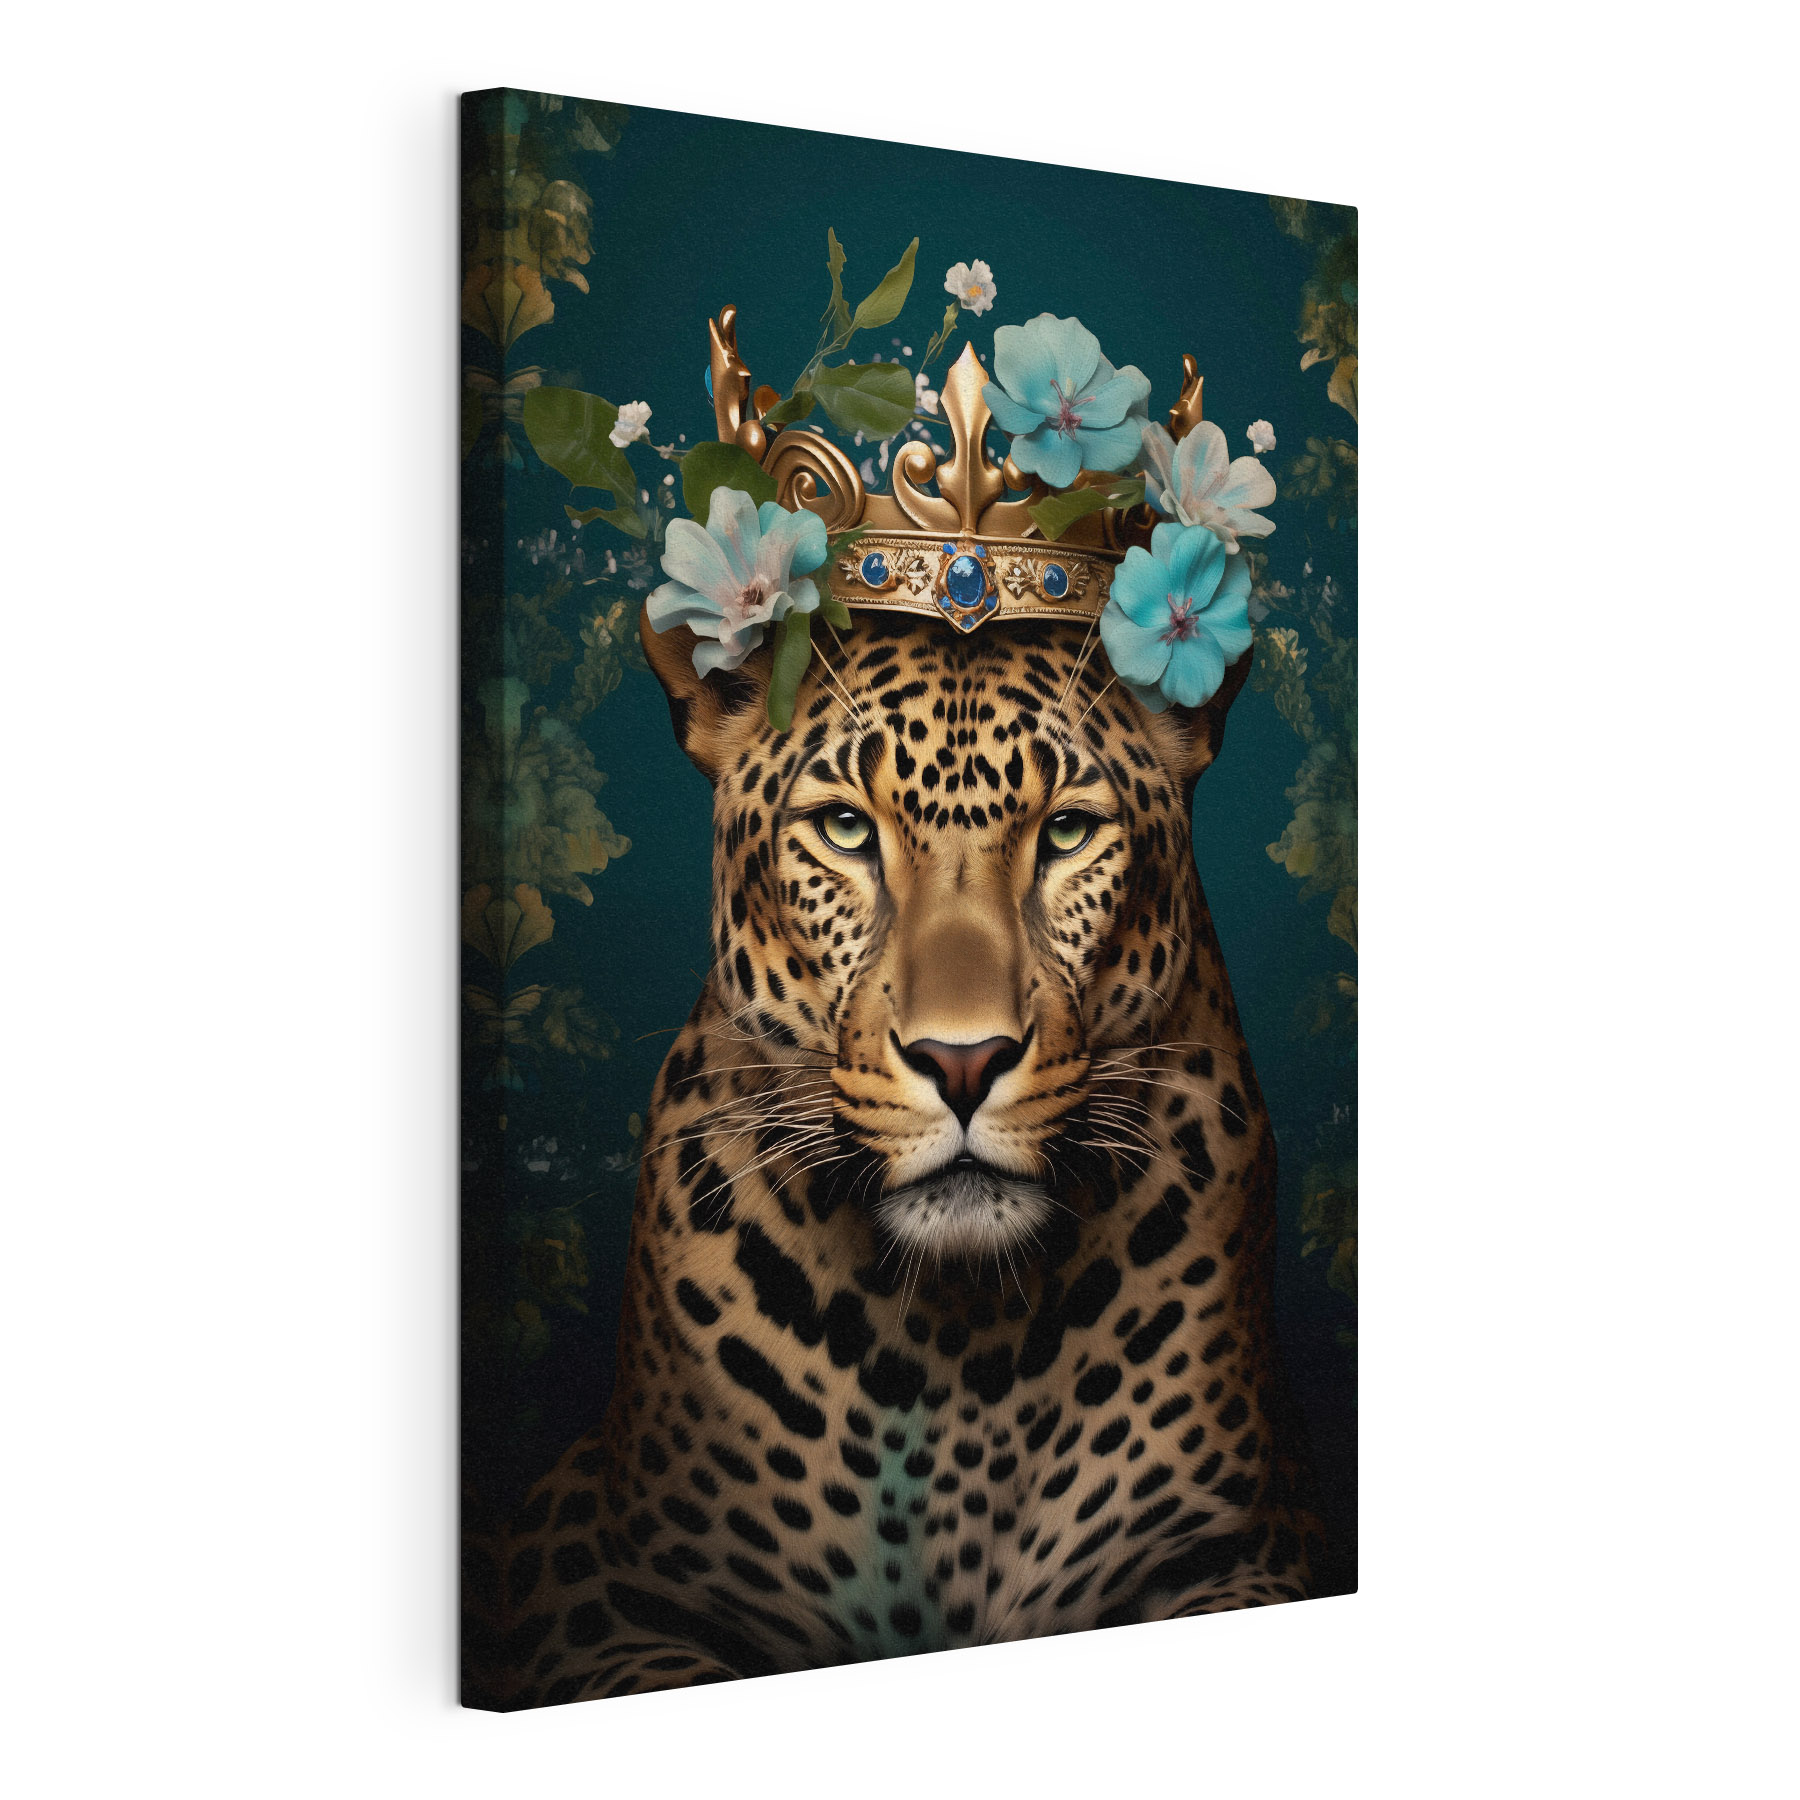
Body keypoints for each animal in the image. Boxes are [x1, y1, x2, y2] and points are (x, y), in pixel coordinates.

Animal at [461, 605, 1323, 1709]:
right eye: (844, 830)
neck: (959, 1338)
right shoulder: (596, 1578)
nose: (964, 1062)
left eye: (1068, 834)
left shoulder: (1244, 1546)